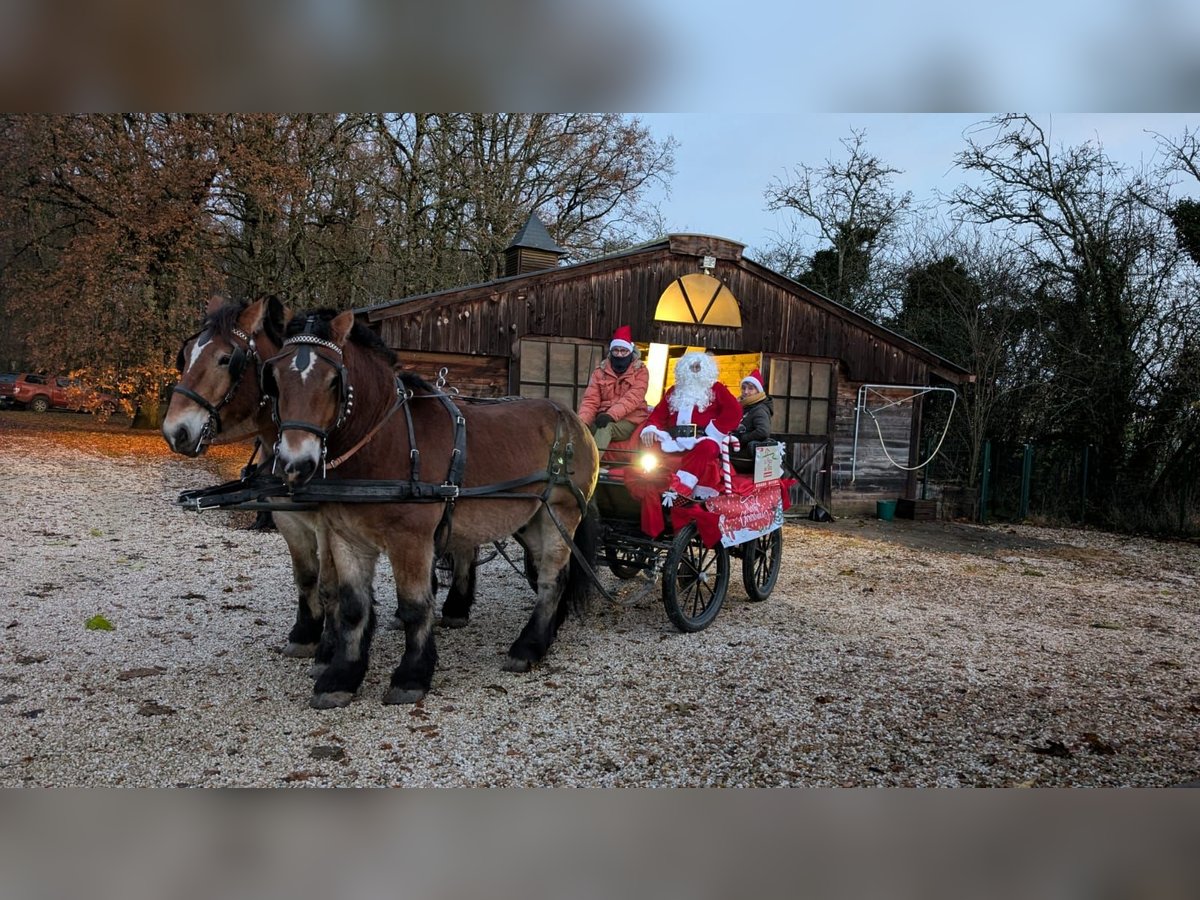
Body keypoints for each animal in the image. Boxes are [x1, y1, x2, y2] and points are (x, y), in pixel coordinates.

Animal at [162, 296, 484, 662]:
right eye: (186, 355)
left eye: (226, 359)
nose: (175, 431)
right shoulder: (289, 519)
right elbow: (306, 577)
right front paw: (306, 633)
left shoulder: (329, 522)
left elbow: (332, 584)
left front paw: (331, 645)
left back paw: (455, 608)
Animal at [264, 309, 600, 710]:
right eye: (275, 378)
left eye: (333, 381)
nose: (294, 464)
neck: (385, 442)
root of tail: (573, 418)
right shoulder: (345, 537)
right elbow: (352, 608)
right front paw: (340, 678)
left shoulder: (410, 539)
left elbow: (414, 606)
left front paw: (412, 676)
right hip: (529, 520)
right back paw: (545, 636)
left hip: (560, 514)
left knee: (551, 579)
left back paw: (528, 648)